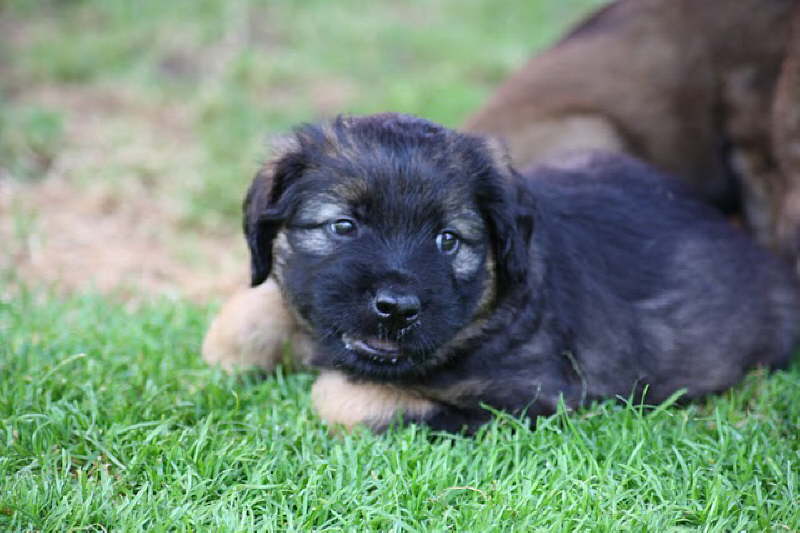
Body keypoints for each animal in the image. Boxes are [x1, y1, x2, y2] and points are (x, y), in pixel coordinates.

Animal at [227, 113, 800, 432]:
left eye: (447, 240)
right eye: (344, 226)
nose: (396, 308)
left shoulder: (528, 396)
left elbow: (342, 396)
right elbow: (244, 315)